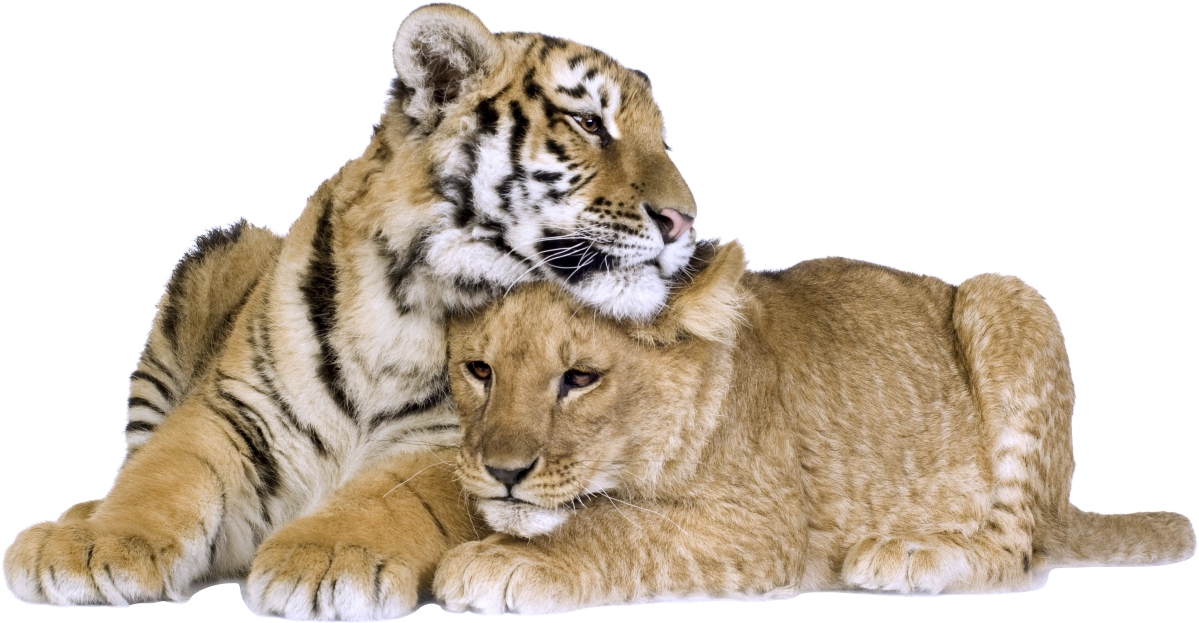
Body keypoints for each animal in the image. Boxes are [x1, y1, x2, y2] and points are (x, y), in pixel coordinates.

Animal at [3, 4, 697, 620]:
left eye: (664, 141)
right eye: (588, 122)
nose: (684, 219)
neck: (407, 300)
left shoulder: (456, 440)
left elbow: (395, 491)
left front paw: (327, 558)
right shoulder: (234, 407)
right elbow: (165, 470)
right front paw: (91, 546)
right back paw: (76, 517)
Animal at [432, 240, 1195, 613]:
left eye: (581, 378)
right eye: (479, 370)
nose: (502, 473)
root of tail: (1064, 500)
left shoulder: (766, 524)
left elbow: (618, 527)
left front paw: (508, 559)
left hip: (1003, 295)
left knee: (1018, 552)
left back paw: (909, 552)